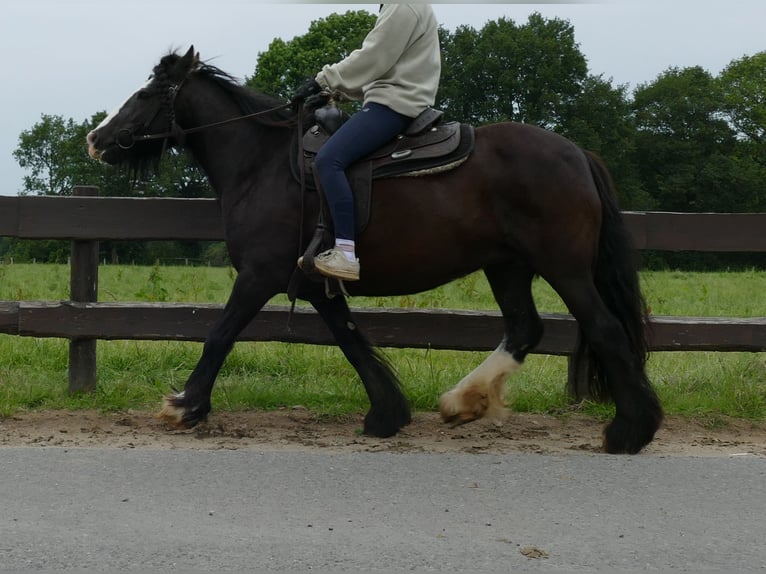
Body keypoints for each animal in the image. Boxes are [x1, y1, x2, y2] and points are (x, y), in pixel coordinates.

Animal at [85, 48, 664, 454]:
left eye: (146, 94)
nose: (97, 139)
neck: (262, 163)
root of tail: (577, 153)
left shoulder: (259, 275)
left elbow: (220, 334)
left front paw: (185, 406)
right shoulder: (313, 283)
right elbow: (352, 341)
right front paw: (387, 414)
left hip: (564, 267)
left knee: (604, 329)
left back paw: (630, 430)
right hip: (507, 266)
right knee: (525, 328)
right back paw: (463, 402)